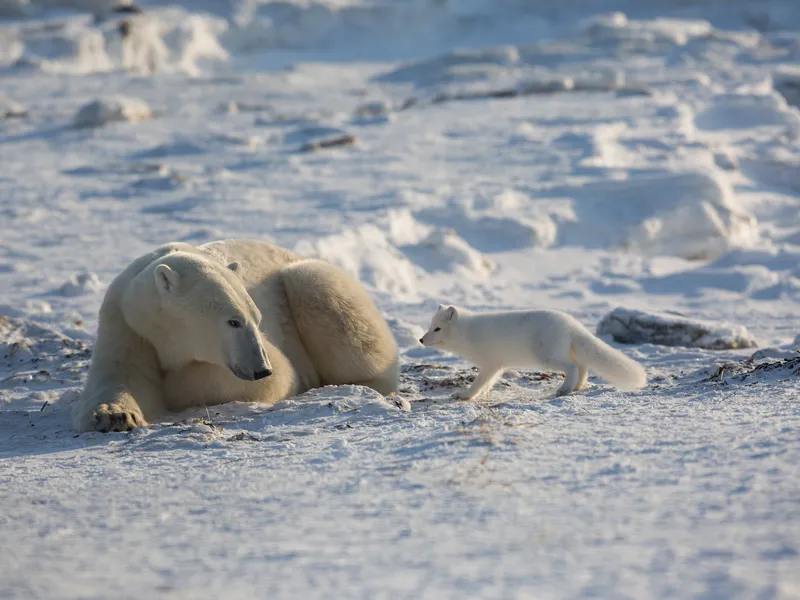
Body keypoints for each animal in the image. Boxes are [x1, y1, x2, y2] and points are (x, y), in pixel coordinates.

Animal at [72, 239, 400, 432]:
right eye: (233, 322)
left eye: (257, 319)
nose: (261, 369)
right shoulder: (126, 323)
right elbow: (120, 374)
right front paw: (115, 416)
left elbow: (277, 375)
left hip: (306, 281)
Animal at [422, 304, 648, 398]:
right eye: (430, 326)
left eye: (437, 329)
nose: (421, 339)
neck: (468, 333)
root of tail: (572, 324)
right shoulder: (497, 366)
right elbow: (487, 384)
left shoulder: (491, 364)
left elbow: (479, 383)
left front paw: (465, 396)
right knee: (583, 366)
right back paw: (576, 387)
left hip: (547, 357)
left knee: (573, 367)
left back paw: (565, 389)